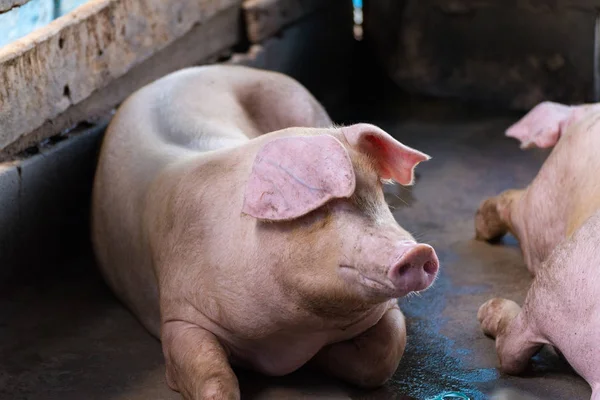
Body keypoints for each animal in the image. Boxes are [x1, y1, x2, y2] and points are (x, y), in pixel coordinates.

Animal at [92, 64, 440, 398]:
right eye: (321, 209)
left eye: (378, 193)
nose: (417, 251)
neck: (290, 338)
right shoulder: (180, 314)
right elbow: (213, 381)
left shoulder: (384, 310)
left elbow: (384, 354)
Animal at [476, 101, 600, 398]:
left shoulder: (547, 193)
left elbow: (512, 202)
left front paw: (480, 224)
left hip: (557, 281)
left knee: (511, 350)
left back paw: (487, 311)